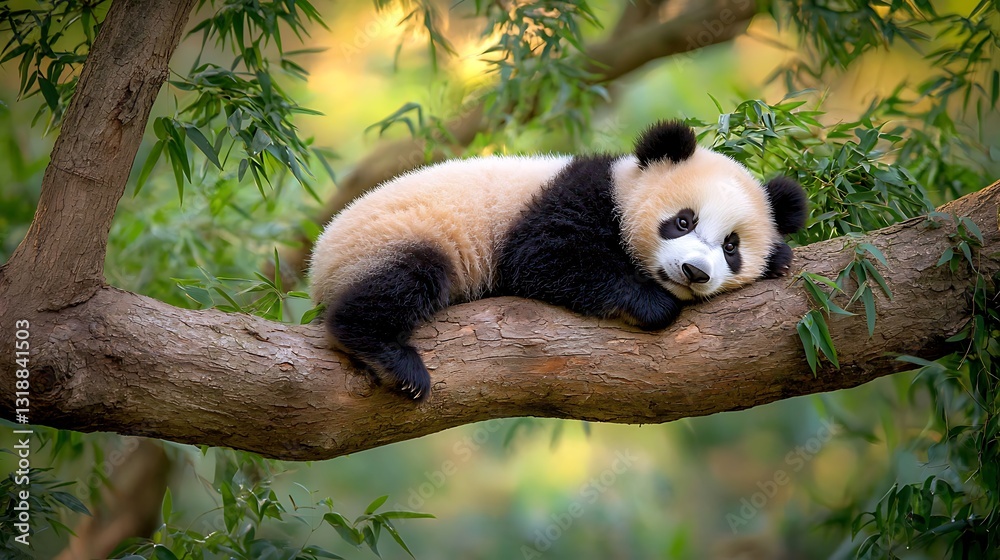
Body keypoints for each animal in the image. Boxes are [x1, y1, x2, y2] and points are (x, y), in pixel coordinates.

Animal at [310, 121, 807, 401]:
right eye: (683, 221)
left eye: (731, 247)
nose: (694, 272)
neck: (622, 190)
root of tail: (318, 265)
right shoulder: (574, 197)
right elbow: (542, 256)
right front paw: (651, 302)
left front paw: (779, 258)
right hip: (393, 236)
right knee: (407, 278)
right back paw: (390, 357)